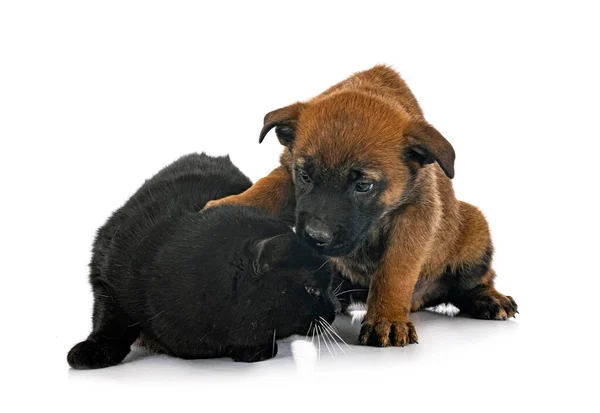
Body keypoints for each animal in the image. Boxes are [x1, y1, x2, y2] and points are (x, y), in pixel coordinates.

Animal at [68, 152, 340, 366]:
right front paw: (92, 351)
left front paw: (254, 350)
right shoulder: (106, 272)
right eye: (312, 289)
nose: (335, 308)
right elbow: (110, 321)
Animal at [207, 66, 516, 346]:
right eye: (305, 175)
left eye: (363, 186)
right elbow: (264, 190)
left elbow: (395, 269)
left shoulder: (415, 215)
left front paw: (386, 319)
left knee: (475, 281)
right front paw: (222, 204)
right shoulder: (288, 174)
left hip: (474, 231)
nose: (315, 238)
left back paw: (490, 299)